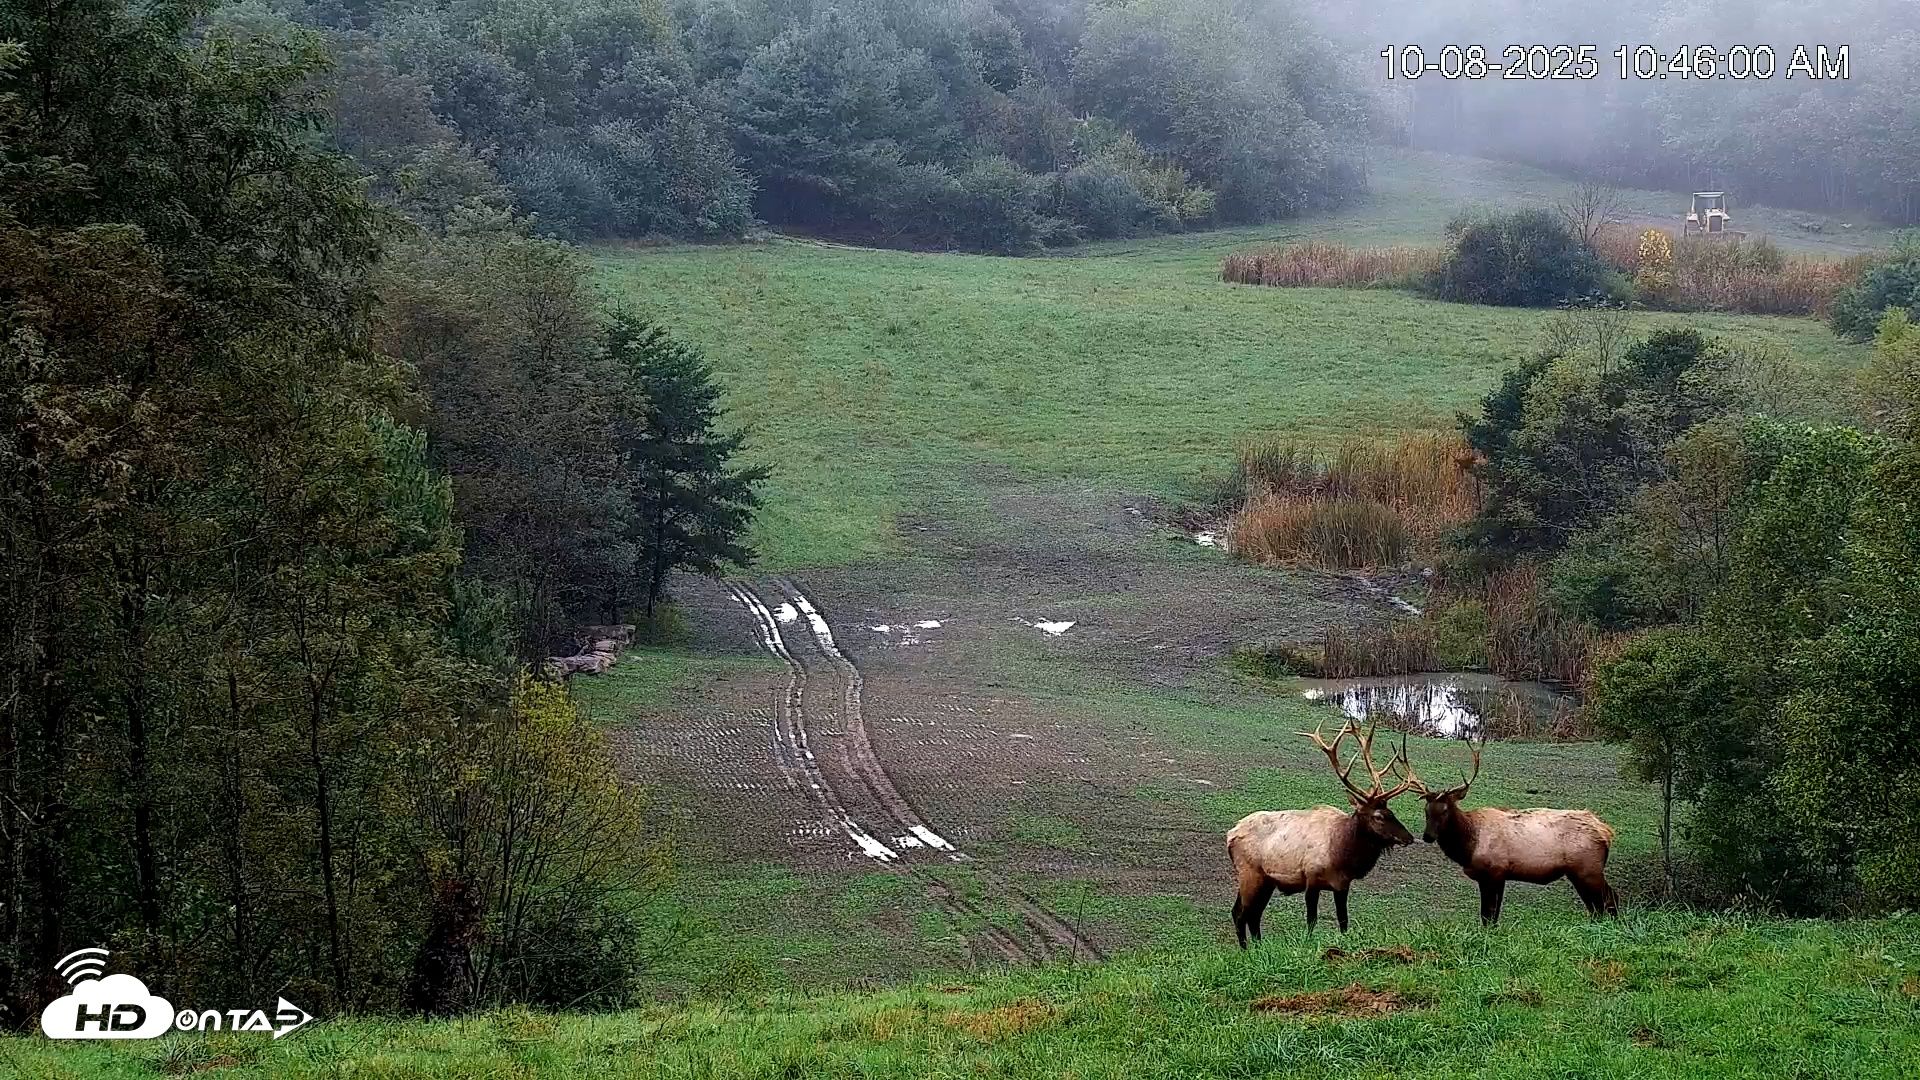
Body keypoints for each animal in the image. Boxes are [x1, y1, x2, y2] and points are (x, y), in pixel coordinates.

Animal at [1226, 719, 1415, 947]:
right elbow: (1311, 920)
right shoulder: (1311, 878)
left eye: (1392, 812)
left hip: (1266, 880)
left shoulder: (1342, 885)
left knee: (1253, 915)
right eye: (1378, 816)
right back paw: (1247, 950)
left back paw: (1259, 947)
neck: (1343, 855)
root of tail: (1230, 834)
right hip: (1249, 873)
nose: (1409, 837)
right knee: (1240, 913)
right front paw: (1308, 943)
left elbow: (1343, 920)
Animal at [1399, 738, 1618, 926]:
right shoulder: (1490, 876)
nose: (1427, 836)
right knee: (1596, 906)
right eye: (1426, 810)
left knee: (1609, 899)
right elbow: (1489, 915)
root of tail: (1607, 831)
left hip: (1588, 868)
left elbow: (1489, 914)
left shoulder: (1495, 871)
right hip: (1580, 872)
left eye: (1445, 810)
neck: (1469, 848)